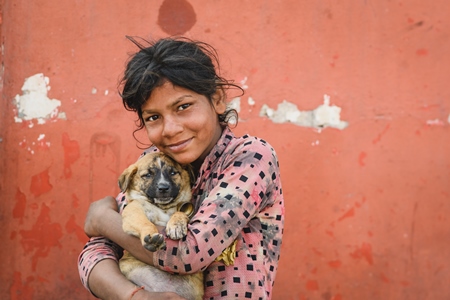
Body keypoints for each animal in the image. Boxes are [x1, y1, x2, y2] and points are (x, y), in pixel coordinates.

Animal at [119, 154, 204, 298]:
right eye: (147, 175)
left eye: (173, 172)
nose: (163, 187)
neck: (163, 208)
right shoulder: (134, 210)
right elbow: (144, 222)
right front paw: (152, 237)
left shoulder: (185, 210)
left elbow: (180, 212)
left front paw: (176, 225)